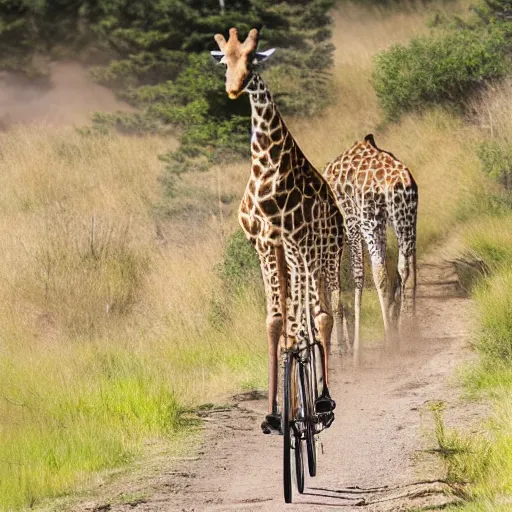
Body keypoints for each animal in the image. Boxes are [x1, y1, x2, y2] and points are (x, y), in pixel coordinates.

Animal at [210, 26, 346, 430]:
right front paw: (274, 412)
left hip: (325, 254)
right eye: (224, 61)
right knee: (302, 317)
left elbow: (305, 322)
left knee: (323, 315)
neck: (267, 169)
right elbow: (274, 321)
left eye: (252, 59)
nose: (233, 88)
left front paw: (310, 402)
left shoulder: (297, 242)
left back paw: (322, 400)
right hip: (295, 258)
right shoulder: (265, 243)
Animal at [326, 134, 418, 354]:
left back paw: (390, 340)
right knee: (406, 269)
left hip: (371, 223)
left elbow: (357, 276)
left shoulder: (351, 221)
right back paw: (408, 331)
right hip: (405, 220)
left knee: (379, 273)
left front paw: (354, 349)